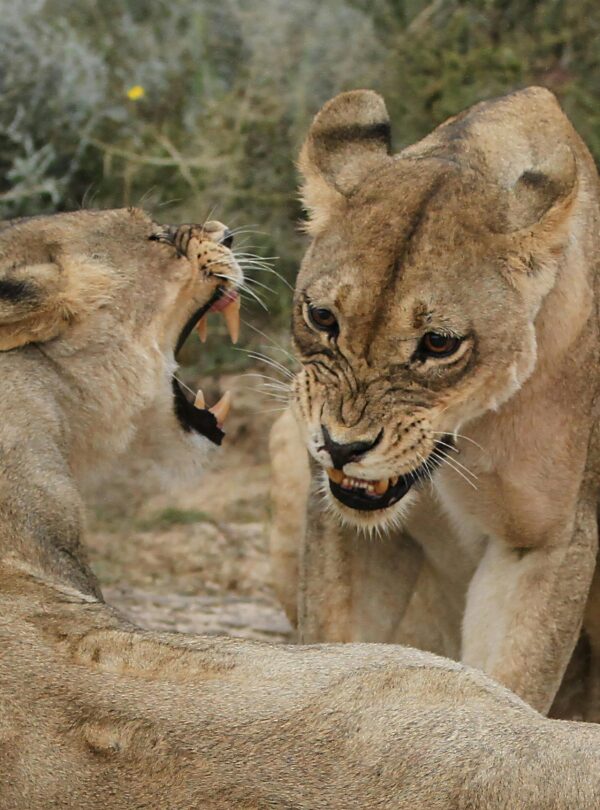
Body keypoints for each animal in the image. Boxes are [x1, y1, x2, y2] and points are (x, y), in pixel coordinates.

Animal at [269, 86, 600, 721]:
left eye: (439, 344)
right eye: (322, 317)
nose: (341, 448)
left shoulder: (544, 542)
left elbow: (510, 688)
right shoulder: (345, 524)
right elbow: (333, 646)